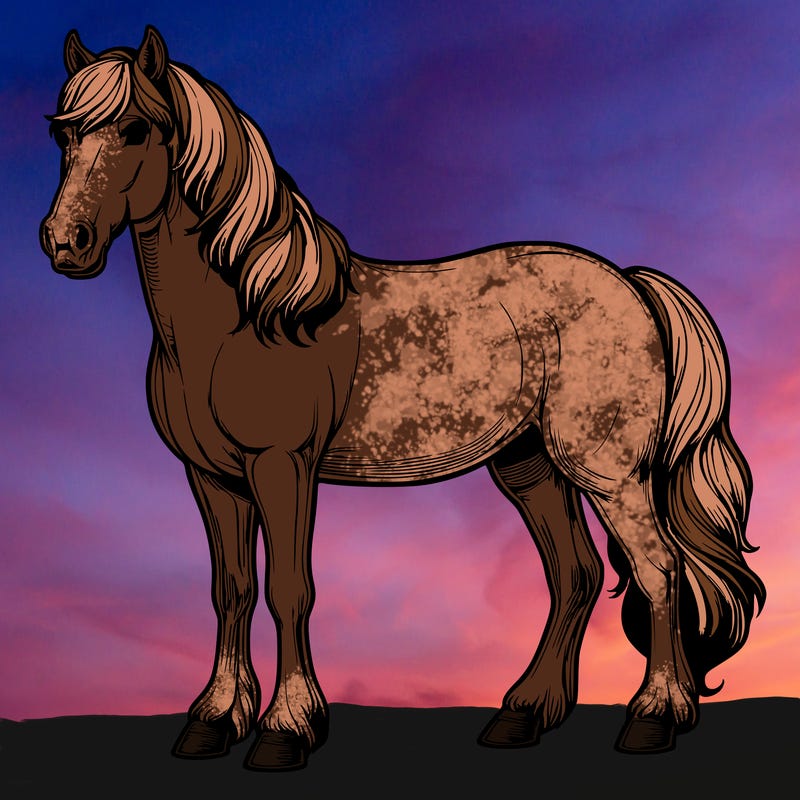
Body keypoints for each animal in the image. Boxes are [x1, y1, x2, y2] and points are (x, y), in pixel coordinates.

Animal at [40, 26, 765, 770]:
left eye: (134, 128)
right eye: (62, 133)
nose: (65, 243)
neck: (248, 312)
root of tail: (629, 283)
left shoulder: (282, 466)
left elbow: (288, 589)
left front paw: (284, 729)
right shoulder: (213, 478)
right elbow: (231, 590)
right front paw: (214, 720)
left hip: (608, 474)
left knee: (659, 570)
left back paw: (654, 718)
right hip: (530, 467)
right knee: (577, 575)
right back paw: (523, 715)